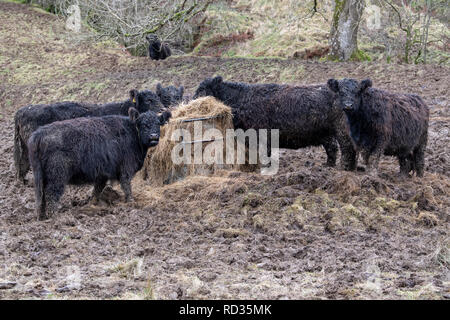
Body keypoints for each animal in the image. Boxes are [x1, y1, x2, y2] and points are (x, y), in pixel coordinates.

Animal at [13, 90, 164, 185]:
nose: (163, 110)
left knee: (22, 164)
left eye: (158, 98)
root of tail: (22, 110)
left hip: (26, 147)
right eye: (149, 100)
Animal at [28, 107, 171, 220]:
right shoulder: (125, 168)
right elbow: (126, 185)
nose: (153, 136)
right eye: (143, 124)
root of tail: (39, 133)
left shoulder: (102, 173)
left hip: (41, 176)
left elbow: (97, 189)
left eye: (158, 123)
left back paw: (41, 216)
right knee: (51, 194)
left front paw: (92, 204)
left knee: (41, 195)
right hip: (57, 176)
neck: (133, 134)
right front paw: (131, 202)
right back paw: (55, 216)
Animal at [193, 75, 358, 170]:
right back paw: (328, 166)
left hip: (341, 130)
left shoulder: (262, 136)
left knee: (347, 148)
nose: (190, 102)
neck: (241, 101)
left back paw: (344, 169)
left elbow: (264, 155)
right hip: (326, 133)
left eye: (201, 90)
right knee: (332, 148)